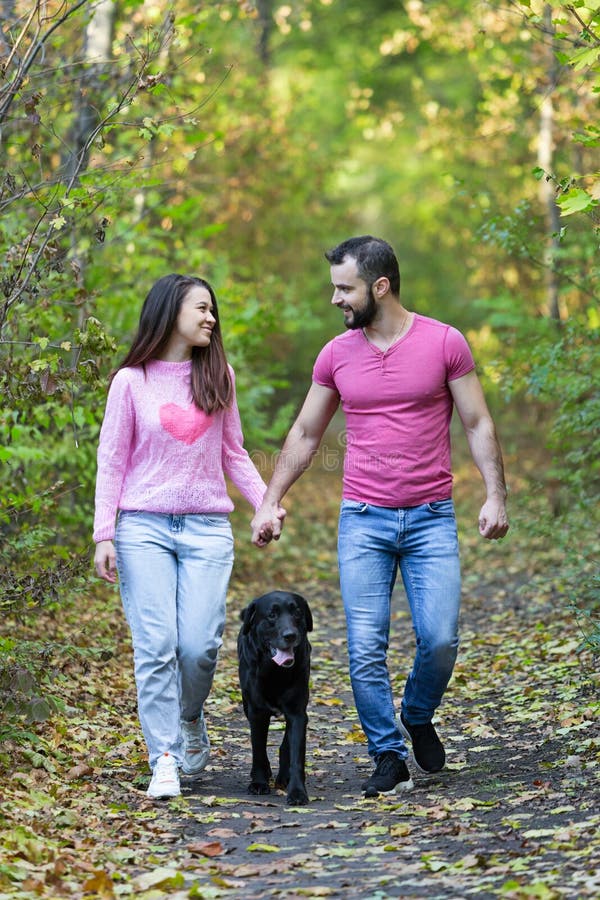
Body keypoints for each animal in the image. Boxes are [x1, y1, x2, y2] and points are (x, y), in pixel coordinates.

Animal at [238, 588, 314, 804]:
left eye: (297, 613)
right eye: (272, 615)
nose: (290, 635)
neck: (275, 671)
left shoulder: (297, 713)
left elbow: (296, 754)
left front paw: (297, 791)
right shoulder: (256, 712)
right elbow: (258, 749)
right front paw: (259, 782)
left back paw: (284, 777)